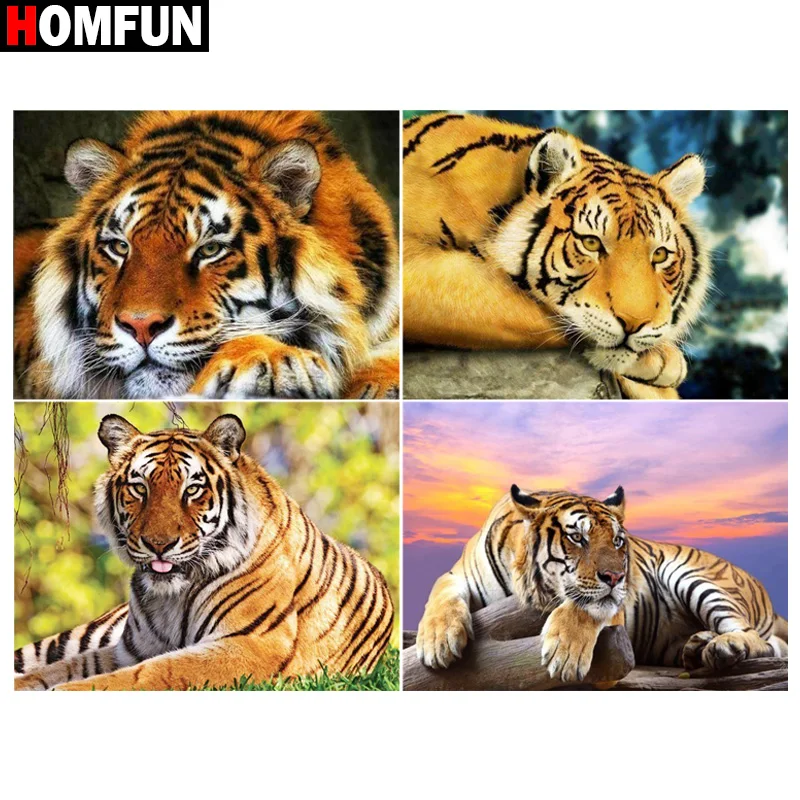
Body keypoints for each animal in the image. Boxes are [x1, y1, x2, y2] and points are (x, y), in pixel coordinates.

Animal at [14, 413, 394, 690]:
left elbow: (149, 674)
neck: (171, 597)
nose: (158, 544)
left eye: (192, 489)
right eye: (139, 488)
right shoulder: (129, 649)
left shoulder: (250, 645)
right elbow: (60, 668)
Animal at [416, 485, 787, 682]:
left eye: (618, 541)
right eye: (577, 537)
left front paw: (565, 654)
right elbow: (440, 594)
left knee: (762, 640)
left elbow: (586, 607)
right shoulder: (457, 575)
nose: (617, 576)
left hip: (692, 576)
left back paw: (724, 647)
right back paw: (697, 646)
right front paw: (437, 642)